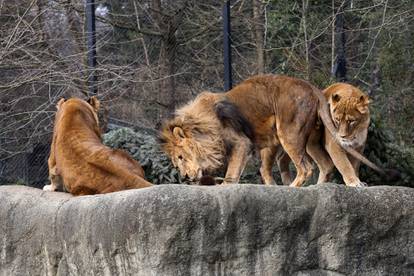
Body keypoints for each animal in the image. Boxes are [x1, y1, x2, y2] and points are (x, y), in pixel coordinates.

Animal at [159, 74, 384, 187]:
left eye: (180, 157)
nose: (185, 178)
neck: (203, 126)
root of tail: (313, 88)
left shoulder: (241, 143)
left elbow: (232, 174)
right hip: (295, 139)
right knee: (322, 165)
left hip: (289, 133)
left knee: (305, 168)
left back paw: (291, 189)